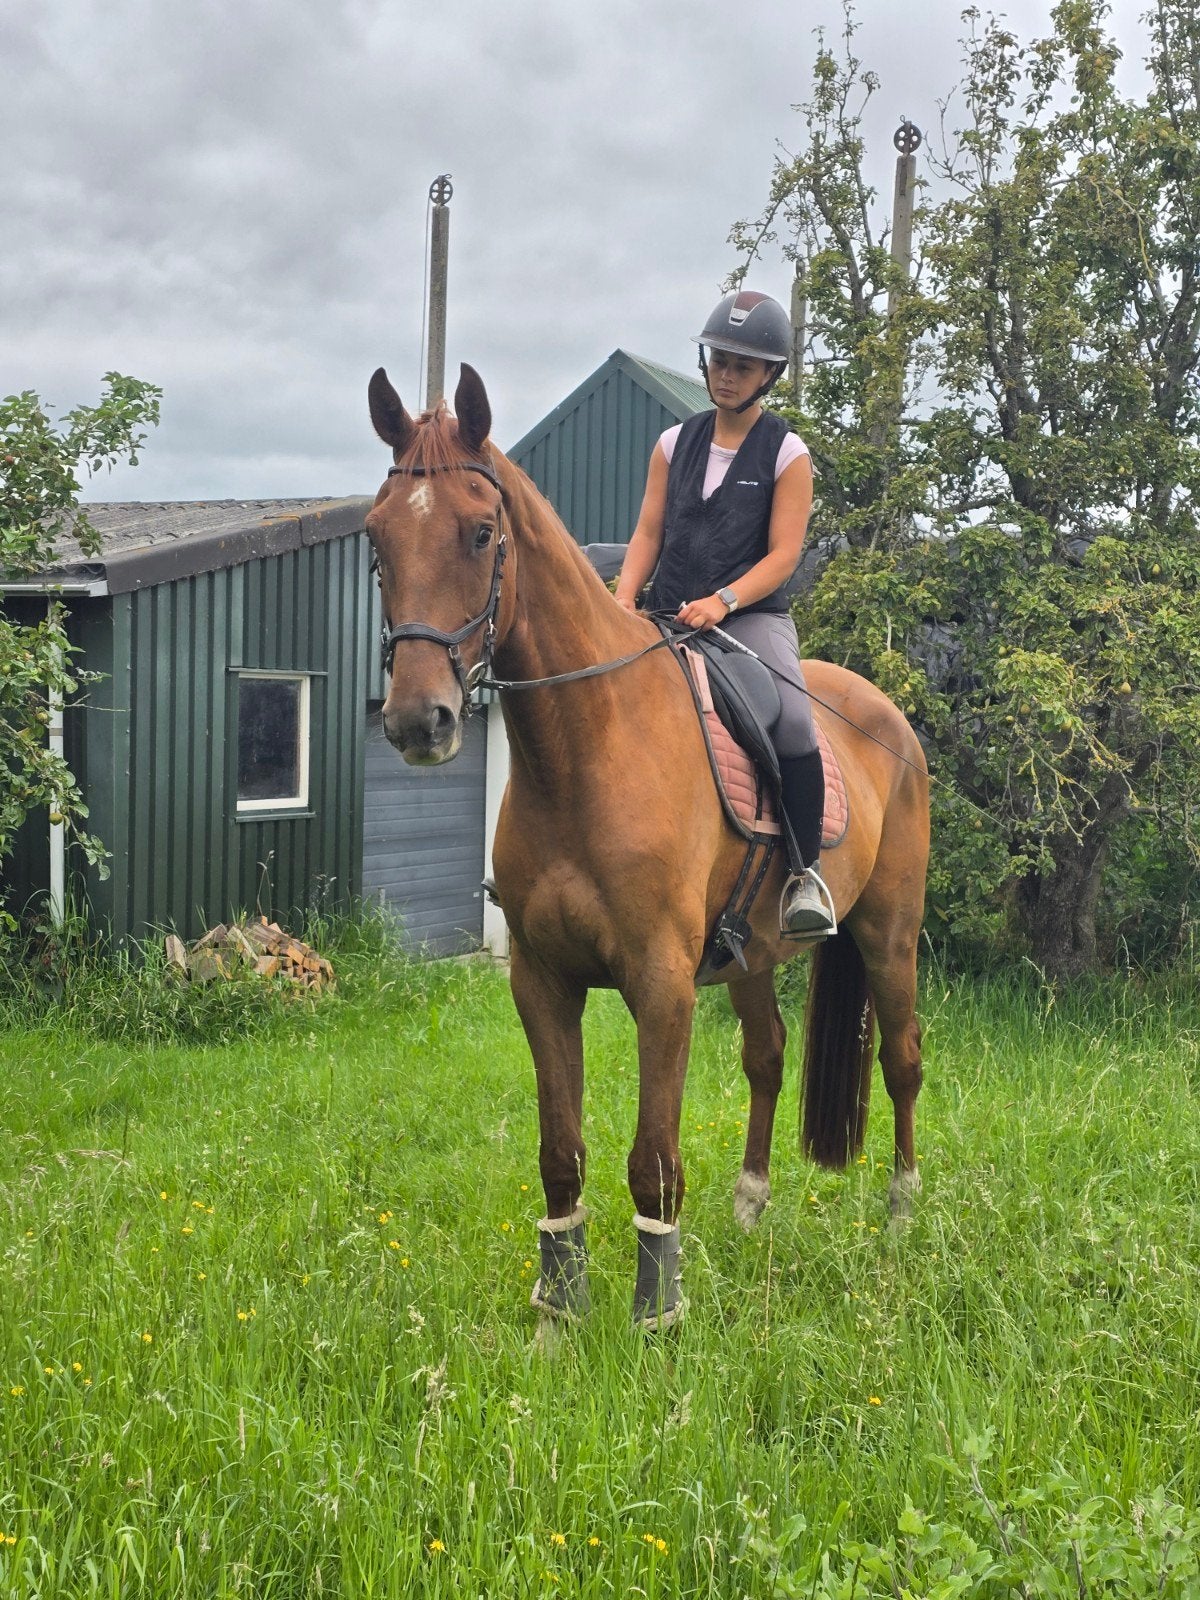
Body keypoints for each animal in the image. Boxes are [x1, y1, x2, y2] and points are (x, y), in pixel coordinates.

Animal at [366, 362, 929, 1329]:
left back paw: (899, 1216)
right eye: (375, 538)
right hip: (750, 957)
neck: (586, 749)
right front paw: (559, 1312)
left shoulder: (660, 986)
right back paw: (749, 1208)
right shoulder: (542, 983)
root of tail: (891, 718)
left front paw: (655, 1313)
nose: (417, 721)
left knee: (901, 1062)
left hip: (889, 938)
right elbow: (561, 1154)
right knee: (768, 1055)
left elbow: (653, 1164)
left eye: (482, 533)